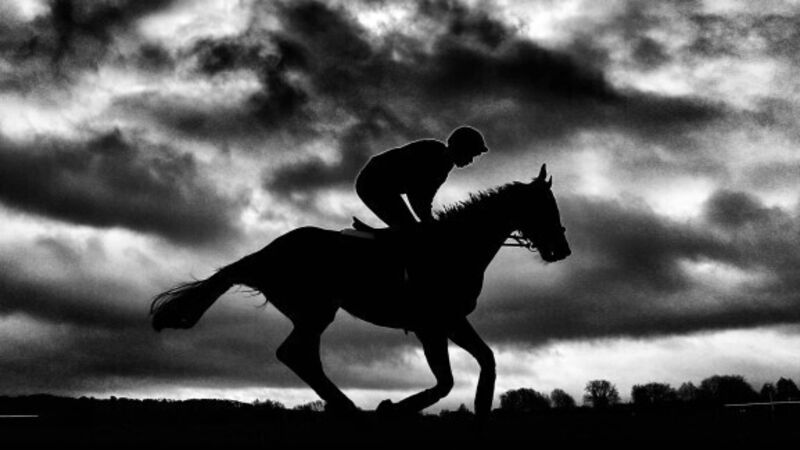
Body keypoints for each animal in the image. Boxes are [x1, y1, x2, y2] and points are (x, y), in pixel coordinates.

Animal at [150, 164, 571, 418]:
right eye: (545, 207)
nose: (562, 250)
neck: (455, 247)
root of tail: (262, 255)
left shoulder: (451, 320)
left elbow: (486, 360)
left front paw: (481, 409)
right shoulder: (431, 325)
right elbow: (446, 381)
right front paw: (390, 407)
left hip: (312, 312)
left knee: (300, 357)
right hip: (316, 310)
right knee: (295, 354)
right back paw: (352, 408)